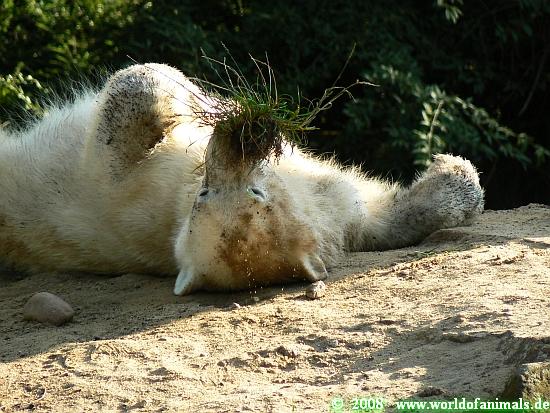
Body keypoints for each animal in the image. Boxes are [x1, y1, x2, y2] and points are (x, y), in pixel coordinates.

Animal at [0, 64, 484, 295]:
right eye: (205, 194)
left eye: (255, 190)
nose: (238, 142)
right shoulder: (137, 191)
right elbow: (126, 116)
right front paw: (195, 95)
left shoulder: (333, 213)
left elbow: (374, 216)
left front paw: (456, 175)